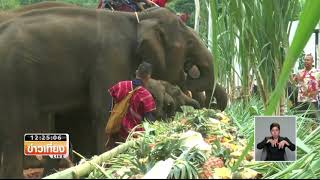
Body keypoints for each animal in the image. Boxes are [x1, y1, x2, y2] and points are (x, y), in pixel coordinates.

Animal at [0, 4, 225, 178]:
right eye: (189, 43)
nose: (209, 107)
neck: (138, 19)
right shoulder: (112, 57)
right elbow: (106, 112)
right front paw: (105, 165)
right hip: (13, 78)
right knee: (14, 128)